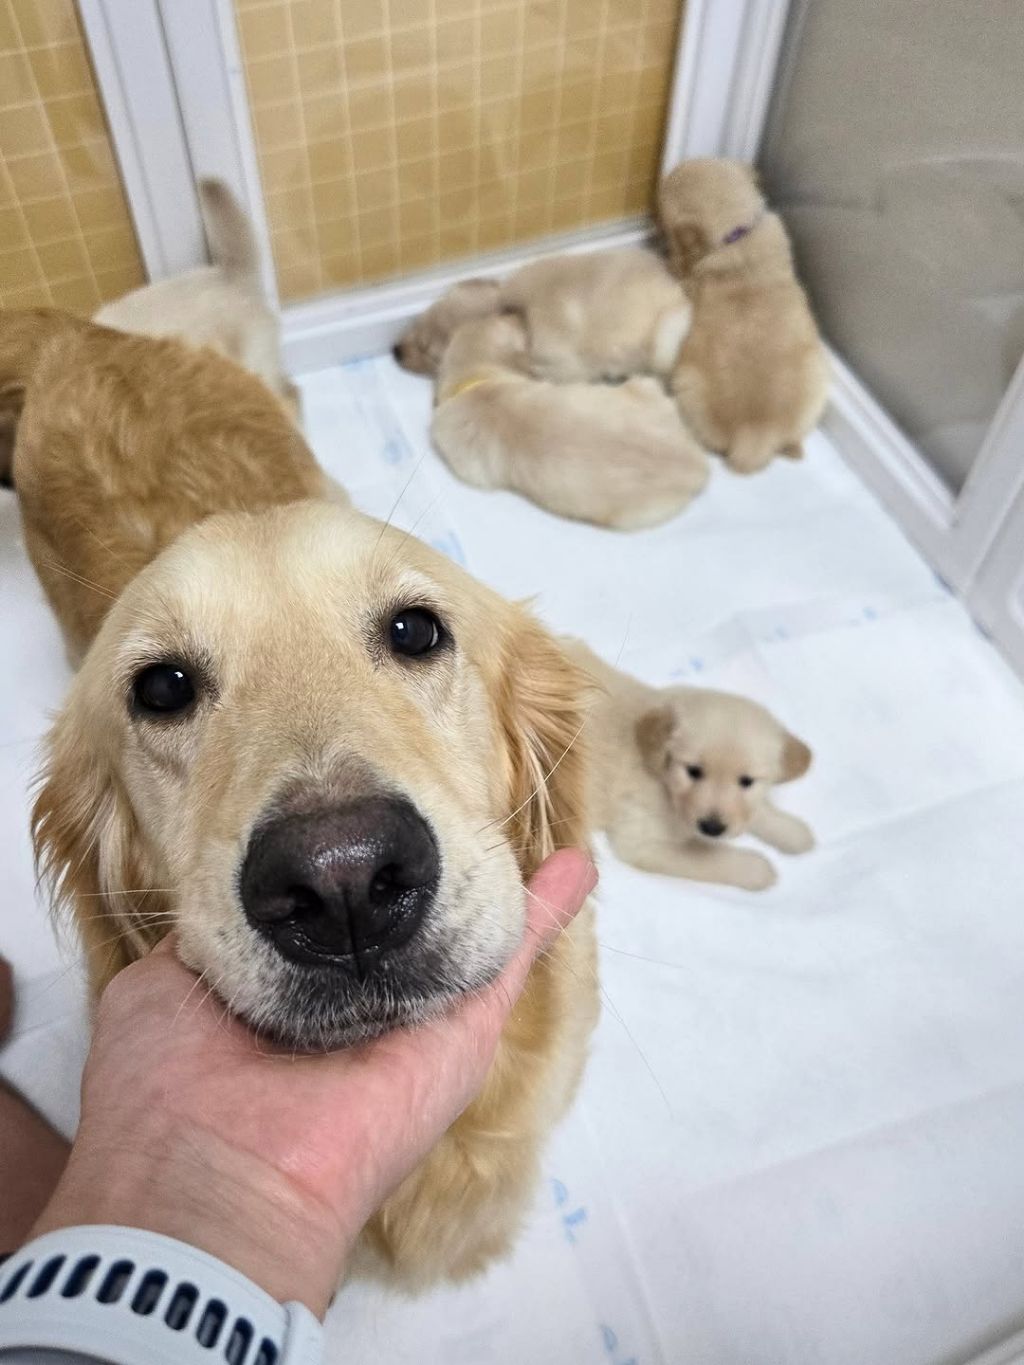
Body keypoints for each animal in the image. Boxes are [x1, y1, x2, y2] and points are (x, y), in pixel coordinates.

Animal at [570, 641, 814, 891]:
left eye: (747, 781)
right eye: (693, 771)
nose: (712, 828)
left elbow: (758, 810)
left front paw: (793, 831)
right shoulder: (642, 842)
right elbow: (708, 857)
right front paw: (757, 868)